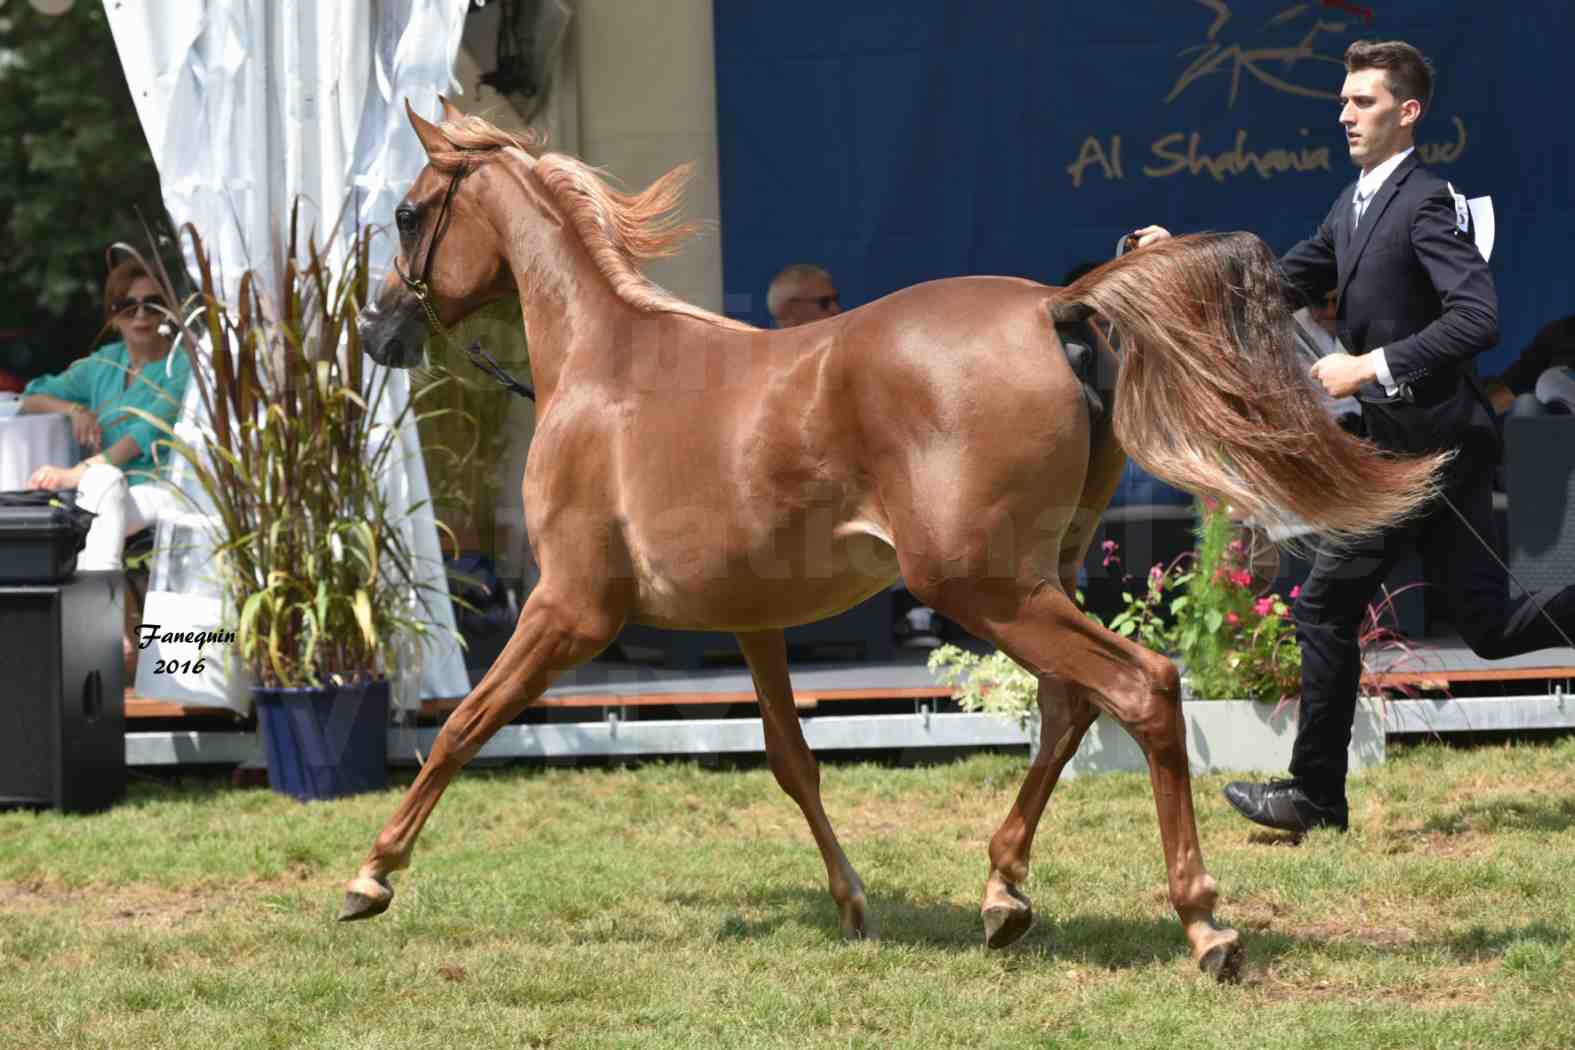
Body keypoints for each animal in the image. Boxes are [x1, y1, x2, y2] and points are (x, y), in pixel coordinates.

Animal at [344, 102, 1449, 982]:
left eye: (408, 213)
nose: (377, 332)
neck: (603, 367)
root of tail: (1054, 308)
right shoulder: (753, 624)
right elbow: (793, 760)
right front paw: (852, 904)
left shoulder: (570, 609)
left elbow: (462, 727)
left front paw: (369, 877)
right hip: (1033, 580)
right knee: (1068, 707)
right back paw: (1003, 896)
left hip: (981, 586)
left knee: (1140, 688)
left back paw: (1204, 925)